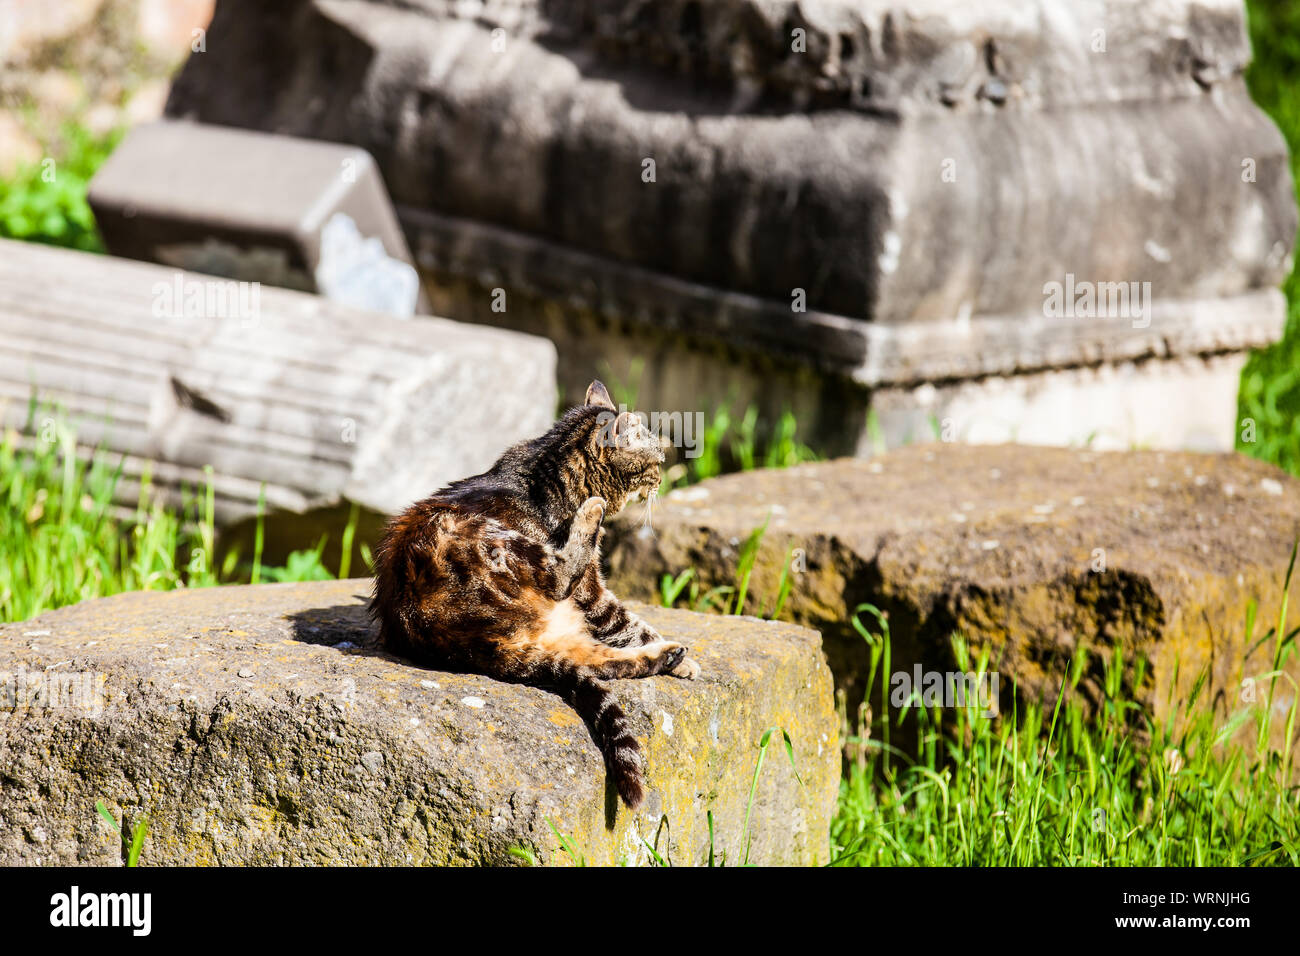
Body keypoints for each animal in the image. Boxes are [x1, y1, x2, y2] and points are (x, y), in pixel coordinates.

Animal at [371, 382, 702, 806]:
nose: (662, 480)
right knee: (563, 579)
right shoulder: (592, 590)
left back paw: (670, 654)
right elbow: (629, 622)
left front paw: (682, 662)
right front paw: (684, 662)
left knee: (601, 663)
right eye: (655, 462)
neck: (550, 475)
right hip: (485, 536)